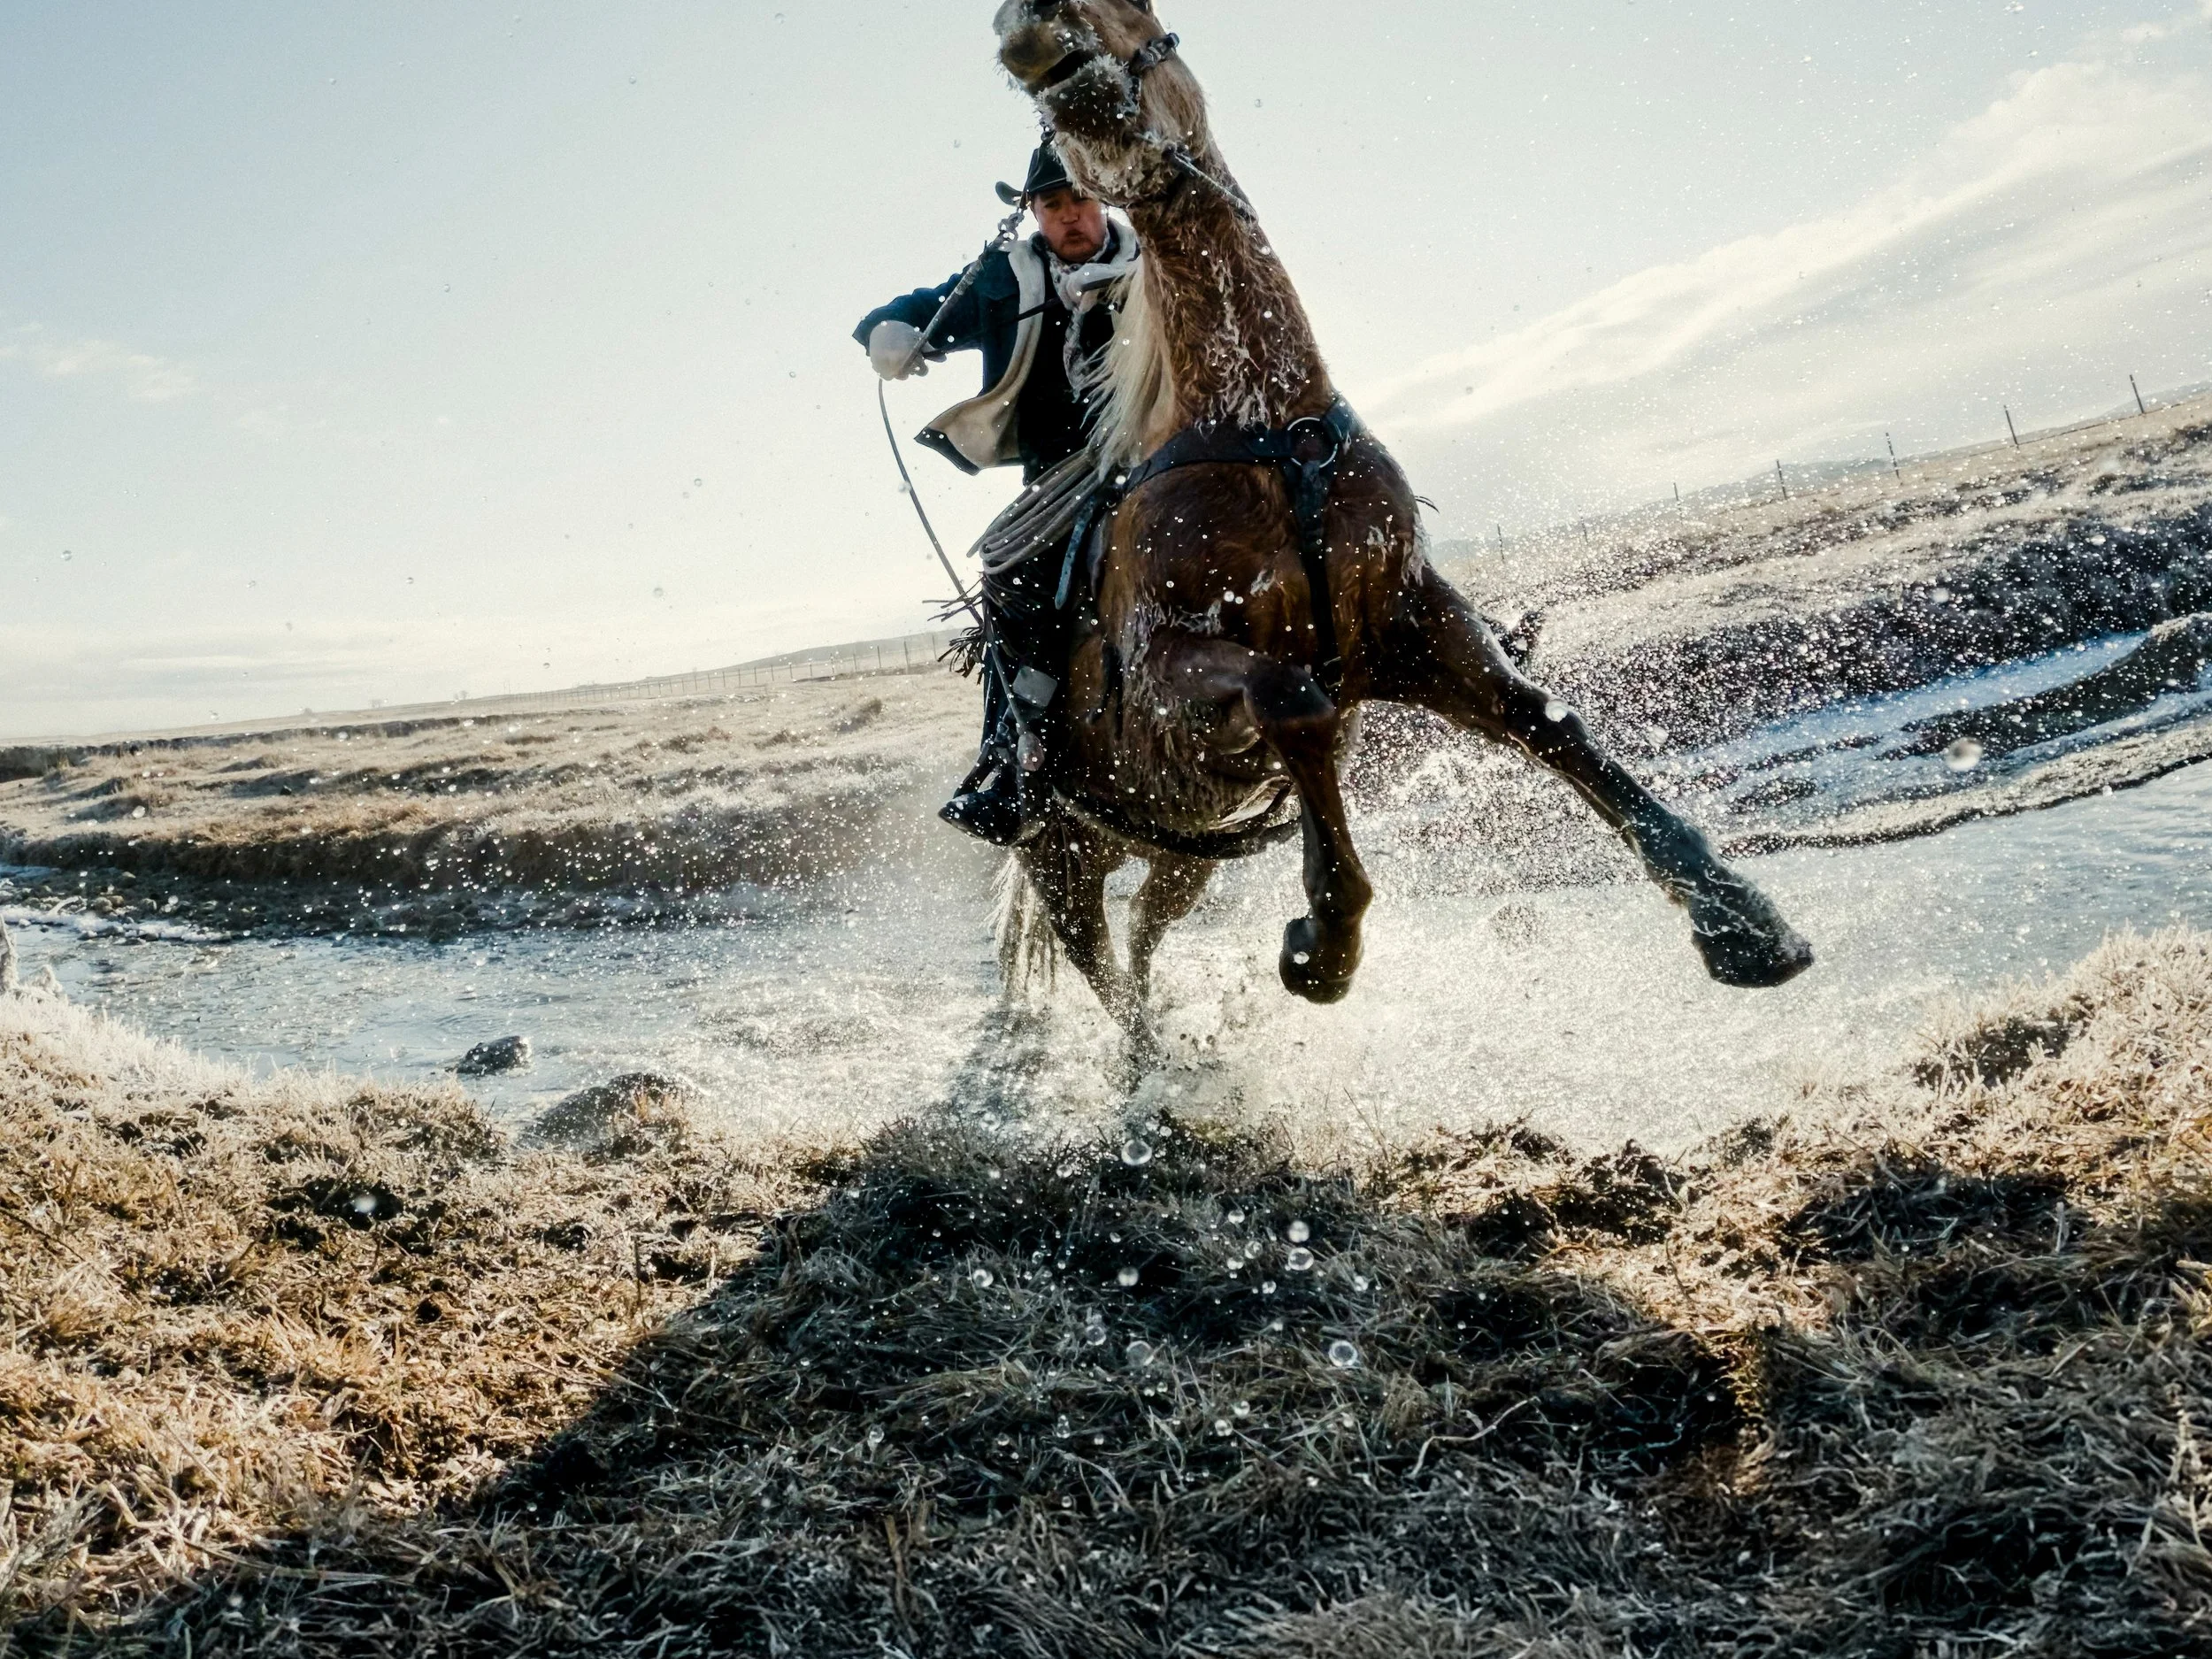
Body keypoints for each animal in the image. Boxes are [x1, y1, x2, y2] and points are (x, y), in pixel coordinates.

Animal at [985, 0, 1813, 1039]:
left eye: (1146, 16)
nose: (1034, 39)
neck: (1268, 426)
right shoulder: (1169, 672)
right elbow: (1293, 701)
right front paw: (1321, 949)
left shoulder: (1408, 623)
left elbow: (1548, 722)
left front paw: (1742, 922)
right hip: (1061, 863)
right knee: (1111, 981)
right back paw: (1157, 1065)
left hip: (1178, 856)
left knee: (1143, 938)